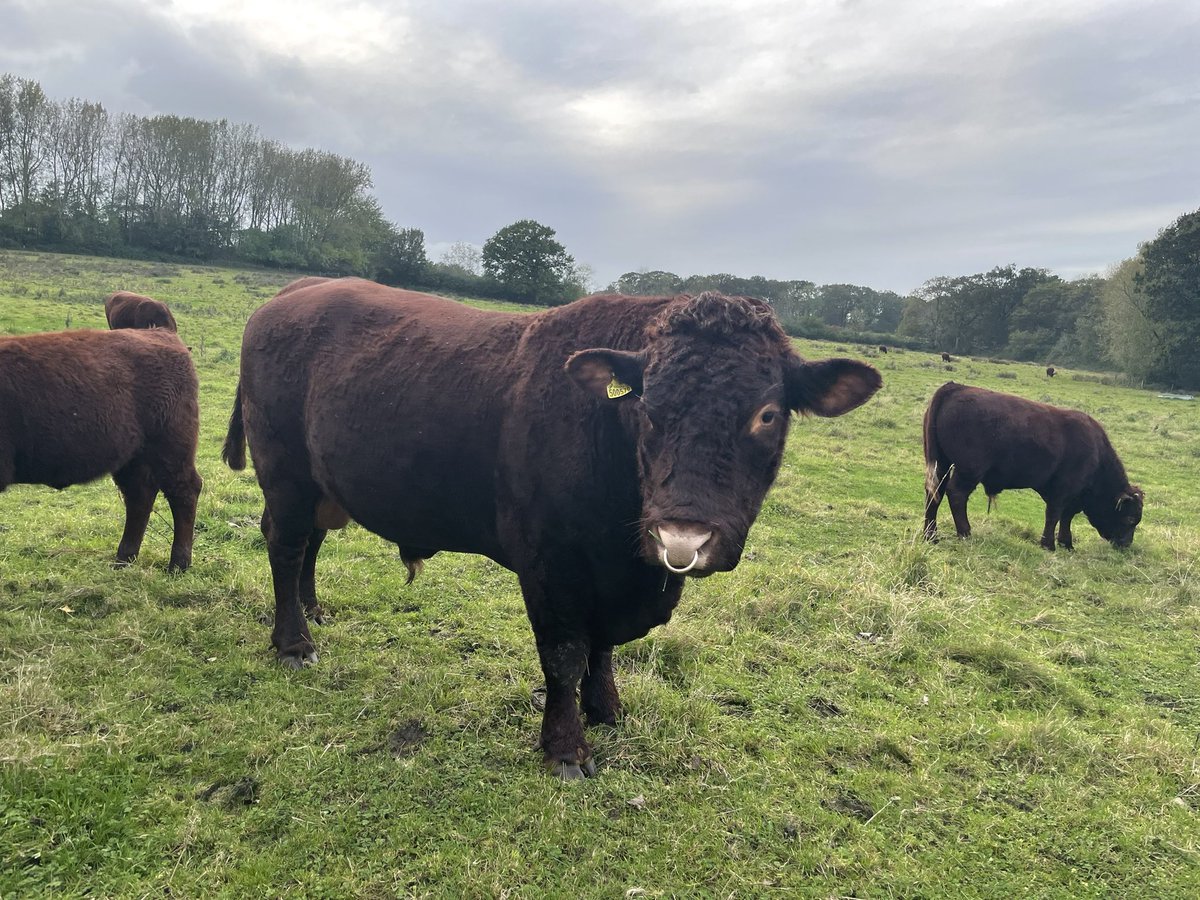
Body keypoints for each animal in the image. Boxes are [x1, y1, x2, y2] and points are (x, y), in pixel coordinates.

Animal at [0, 329, 202, 571]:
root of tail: (164, 334)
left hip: (171, 450)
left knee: (184, 492)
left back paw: (178, 564)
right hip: (132, 459)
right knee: (140, 496)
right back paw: (124, 559)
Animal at [223, 278, 882, 778]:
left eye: (766, 414)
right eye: (646, 406)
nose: (682, 538)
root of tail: (296, 292)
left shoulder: (611, 575)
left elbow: (604, 649)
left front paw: (607, 708)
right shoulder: (550, 563)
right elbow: (564, 654)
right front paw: (566, 749)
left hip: (320, 483)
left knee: (309, 543)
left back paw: (314, 611)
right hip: (284, 473)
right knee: (285, 545)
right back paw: (294, 642)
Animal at [922, 382, 1143, 551]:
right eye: (1130, 519)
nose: (1126, 545)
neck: (1096, 453)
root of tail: (956, 387)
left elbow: (1066, 517)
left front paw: (1066, 544)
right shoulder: (1063, 490)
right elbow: (1055, 515)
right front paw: (1049, 545)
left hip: (941, 465)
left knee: (934, 493)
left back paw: (931, 535)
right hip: (968, 471)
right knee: (956, 494)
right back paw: (965, 533)